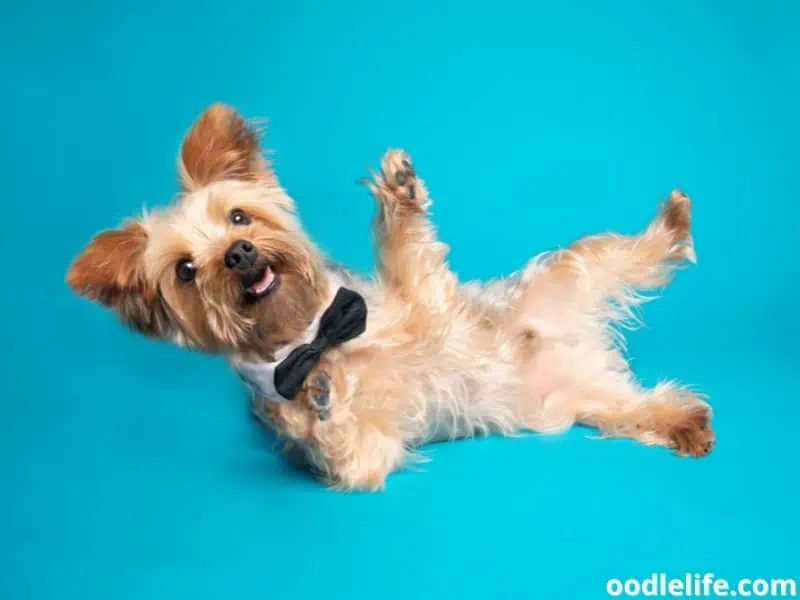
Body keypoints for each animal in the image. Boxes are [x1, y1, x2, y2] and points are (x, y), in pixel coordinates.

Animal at [65, 104, 712, 492]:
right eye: (185, 271)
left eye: (239, 217)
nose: (240, 254)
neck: (315, 334)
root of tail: (586, 345)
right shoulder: (364, 456)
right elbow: (342, 446)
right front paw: (314, 403)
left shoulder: (425, 296)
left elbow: (407, 245)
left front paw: (399, 193)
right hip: (593, 401)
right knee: (639, 409)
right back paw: (683, 420)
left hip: (574, 269)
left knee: (635, 254)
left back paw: (672, 225)